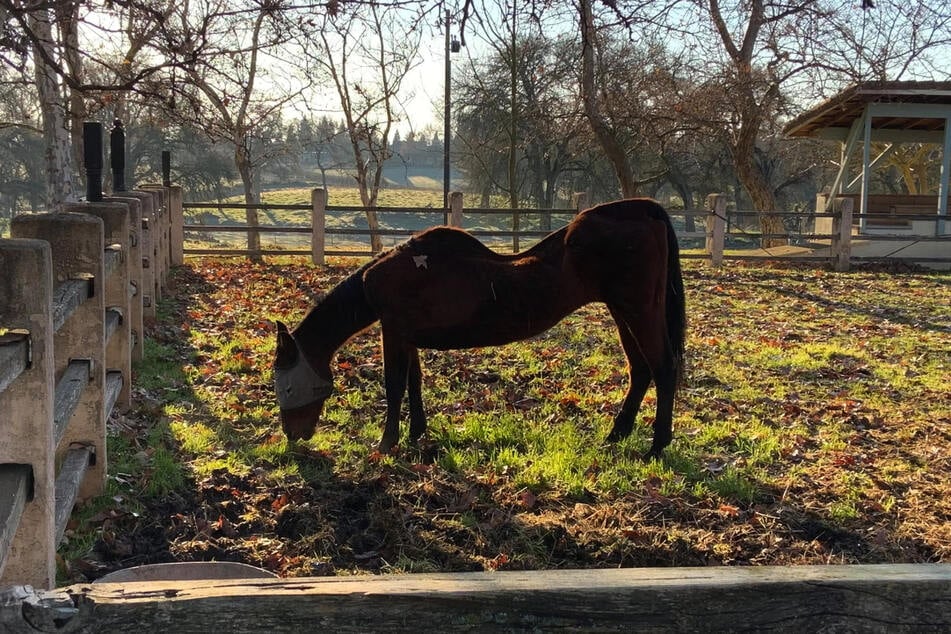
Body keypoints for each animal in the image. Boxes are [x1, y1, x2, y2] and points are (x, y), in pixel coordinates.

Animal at [274, 198, 684, 460]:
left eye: (288, 386)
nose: (293, 436)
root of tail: (643, 209)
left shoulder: (392, 332)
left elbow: (394, 386)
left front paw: (386, 444)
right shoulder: (406, 336)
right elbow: (414, 382)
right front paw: (416, 433)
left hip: (638, 310)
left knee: (663, 368)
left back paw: (657, 446)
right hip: (622, 312)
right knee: (641, 370)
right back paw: (617, 434)